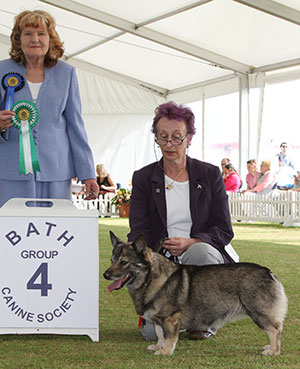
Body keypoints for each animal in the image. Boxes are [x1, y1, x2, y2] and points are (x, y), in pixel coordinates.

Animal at [103, 231, 288, 356]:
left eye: (124, 262)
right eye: (112, 260)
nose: (105, 274)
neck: (151, 278)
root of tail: (268, 272)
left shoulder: (170, 319)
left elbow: (169, 338)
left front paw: (166, 352)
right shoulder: (159, 321)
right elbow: (159, 335)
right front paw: (158, 347)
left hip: (259, 313)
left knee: (275, 330)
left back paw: (273, 351)